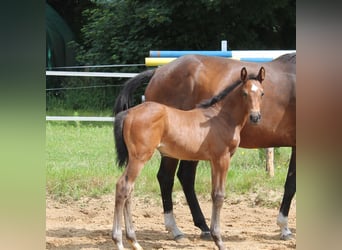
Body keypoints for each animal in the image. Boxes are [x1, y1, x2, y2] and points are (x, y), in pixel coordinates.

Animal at [115, 52, 296, 240]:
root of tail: (158, 71)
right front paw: (284, 228)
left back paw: (201, 226)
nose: (256, 117)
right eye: (245, 94)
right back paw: (177, 229)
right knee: (164, 178)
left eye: (263, 93)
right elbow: (291, 185)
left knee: (182, 177)